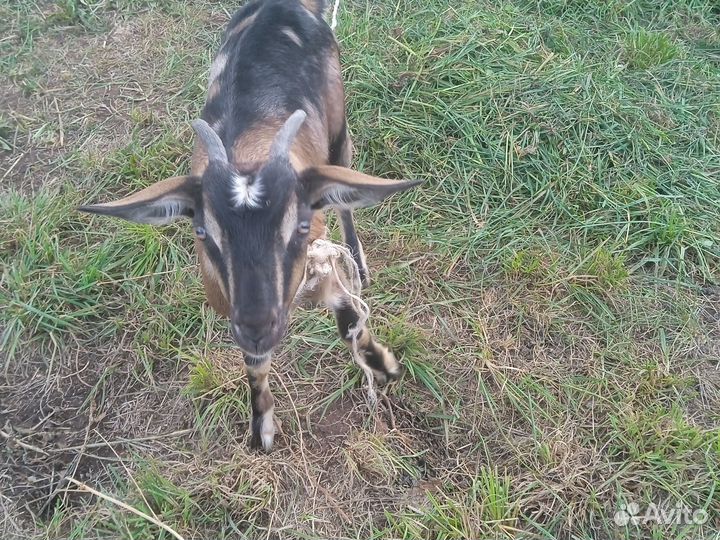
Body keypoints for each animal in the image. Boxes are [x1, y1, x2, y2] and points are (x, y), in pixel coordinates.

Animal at [78, 0, 420, 451]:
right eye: (202, 232)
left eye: (301, 226)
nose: (258, 327)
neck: (246, 154)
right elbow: (254, 366)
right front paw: (263, 426)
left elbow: (348, 317)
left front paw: (381, 364)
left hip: (338, 129)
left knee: (346, 193)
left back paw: (359, 262)